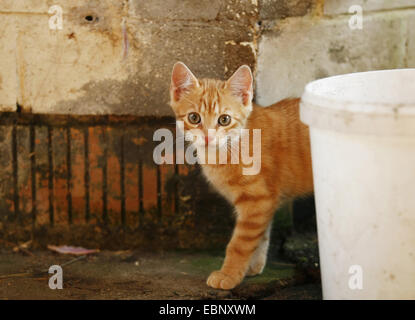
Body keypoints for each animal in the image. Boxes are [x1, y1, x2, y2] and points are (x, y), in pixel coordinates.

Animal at [168, 62, 312, 290]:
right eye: (194, 118)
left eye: (224, 120)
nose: (208, 137)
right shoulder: (265, 203)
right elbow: (262, 236)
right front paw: (252, 267)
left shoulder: (257, 201)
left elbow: (240, 243)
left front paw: (229, 274)